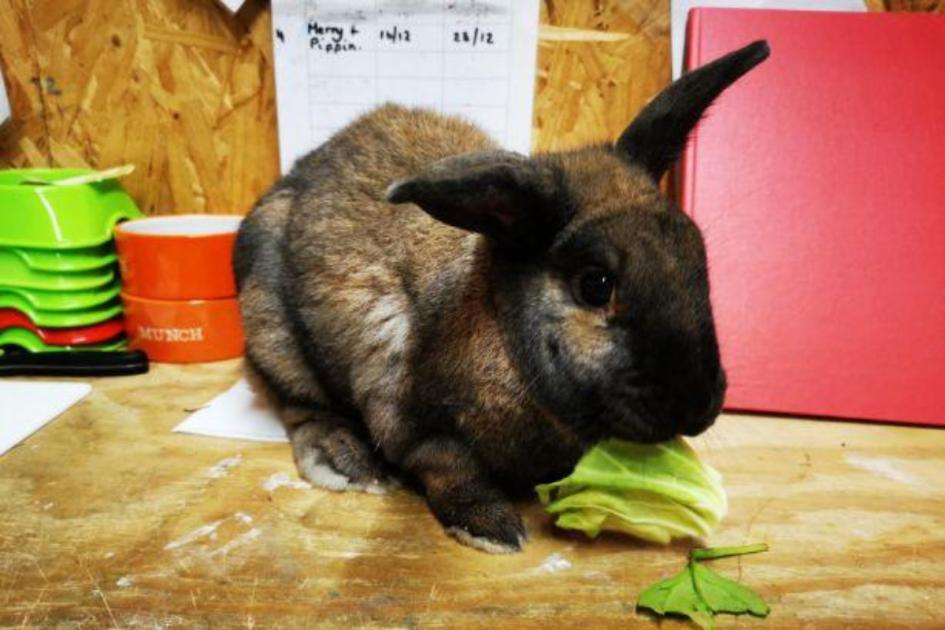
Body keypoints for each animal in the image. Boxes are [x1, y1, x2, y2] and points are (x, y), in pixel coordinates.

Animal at [234, 40, 768, 552]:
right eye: (595, 285)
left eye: (697, 257)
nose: (696, 407)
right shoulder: (411, 425)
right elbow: (449, 467)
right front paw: (492, 529)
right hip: (275, 334)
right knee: (299, 404)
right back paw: (347, 462)